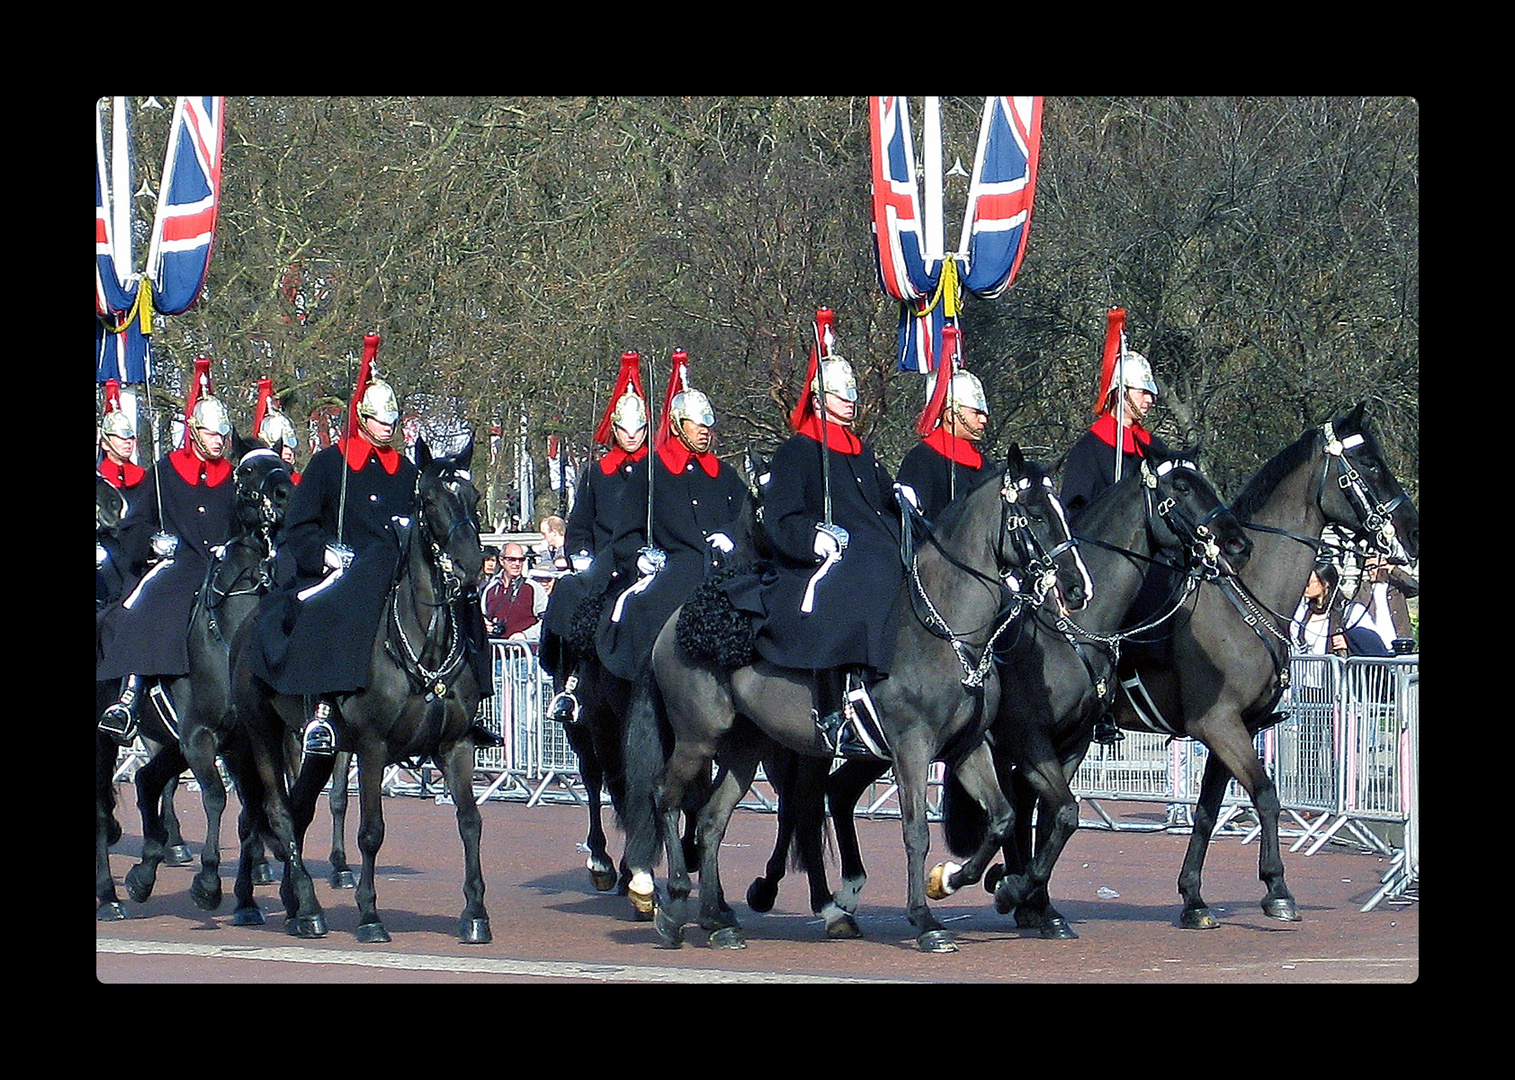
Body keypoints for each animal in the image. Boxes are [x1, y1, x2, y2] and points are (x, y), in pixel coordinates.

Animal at [224, 442, 490, 939]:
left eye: (475, 496)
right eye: (429, 501)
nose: (472, 567)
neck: (423, 643)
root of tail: (249, 626)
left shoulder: (456, 745)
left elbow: (470, 822)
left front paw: (476, 913)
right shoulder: (372, 746)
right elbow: (371, 830)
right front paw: (369, 914)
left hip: (317, 747)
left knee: (298, 808)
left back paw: (295, 902)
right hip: (263, 733)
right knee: (277, 810)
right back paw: (305, 908)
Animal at [627, 445, 1090, 951]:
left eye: (1063, 512)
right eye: (1035, 514)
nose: (1077, 587)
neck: (945, 628)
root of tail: (673, 622)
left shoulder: (967, 748)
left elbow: (1004, 817)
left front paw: (959, 881)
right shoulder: (912, 748)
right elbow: (915, 831)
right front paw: (926, 920)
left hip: (744, 747)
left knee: (712, 821)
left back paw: (718, 920)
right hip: (699, 738)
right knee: (665, 797)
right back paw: (673, 905)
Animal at [933, 445, 1254, 933]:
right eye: (1181, 486)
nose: (1238, 542)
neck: (1074, 629)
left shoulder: (1072, 743)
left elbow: (1057, 818)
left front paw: (1034, 900)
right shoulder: (1031, 741)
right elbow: (1060, 813)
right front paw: (1015, 891)